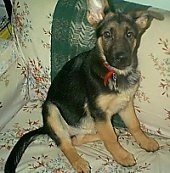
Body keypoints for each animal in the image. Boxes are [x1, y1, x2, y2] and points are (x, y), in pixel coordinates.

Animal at [4, 0, 163, 173]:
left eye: (129, 35)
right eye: (107, 35)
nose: (122, 59)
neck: (114, 73)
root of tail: (45, 128)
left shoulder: (125, 104)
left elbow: (134, 125)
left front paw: (146, 141)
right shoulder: (98, 112)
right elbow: (111, 138)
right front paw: (122, 156)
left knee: (77, 139)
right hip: (51, 110)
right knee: (66, 144)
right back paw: (79, 162)